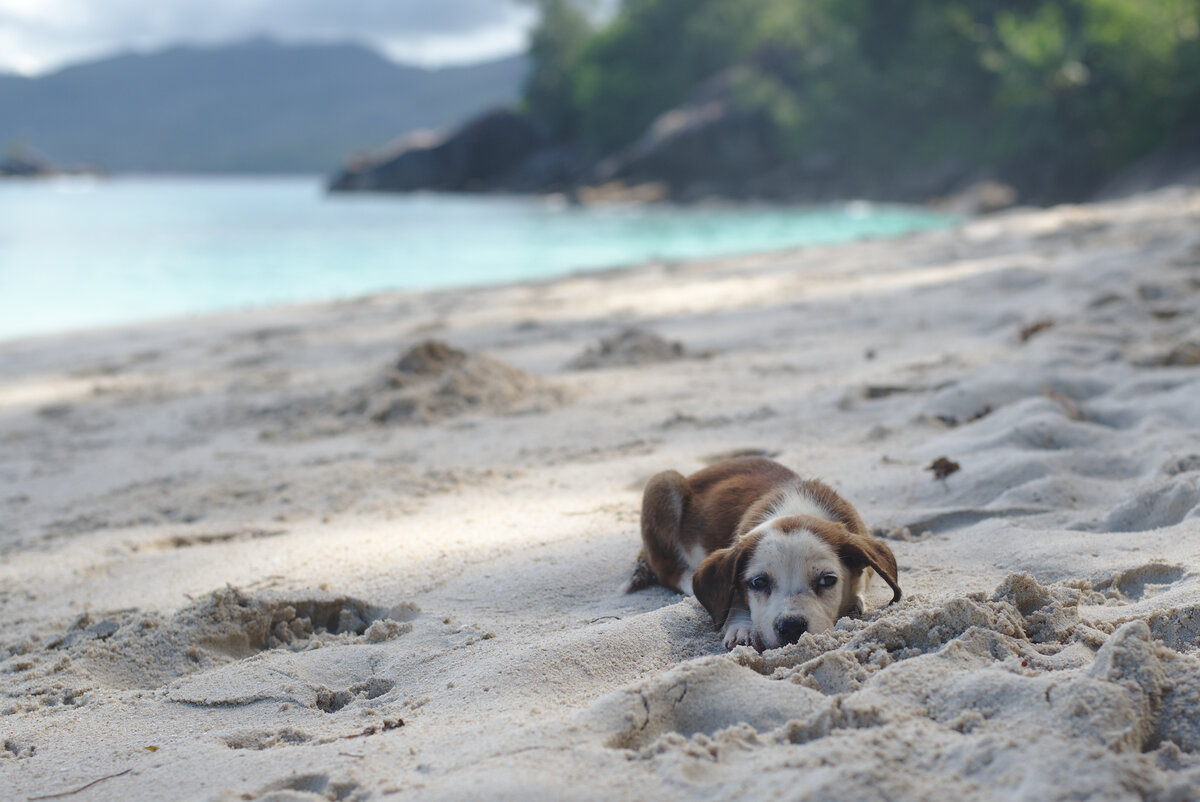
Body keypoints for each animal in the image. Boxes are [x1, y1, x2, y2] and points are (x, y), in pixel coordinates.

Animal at [628, 456, 902, 653]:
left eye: (828, 580)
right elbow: (734, 595)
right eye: (759, 583)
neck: (797, 509)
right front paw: (742, 628)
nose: (791, 628)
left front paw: (855, 600)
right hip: (662, 484)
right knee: (666, 569)